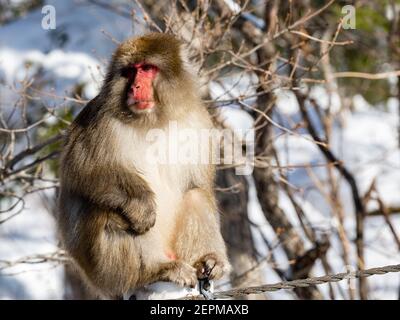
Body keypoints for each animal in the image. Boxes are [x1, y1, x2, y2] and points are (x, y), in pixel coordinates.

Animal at [57, 32, 230, 298]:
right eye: (130, 71)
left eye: (147, 68)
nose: (135, 87)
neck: (155, 120)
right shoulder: (100, 121)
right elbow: (81, 170)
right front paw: (142, 204)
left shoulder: (198, 121)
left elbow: (200, 184)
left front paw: (212, 259)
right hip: (104, 274)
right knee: (111, 214)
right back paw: (156, 270)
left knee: (195, 195)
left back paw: (205, 261)